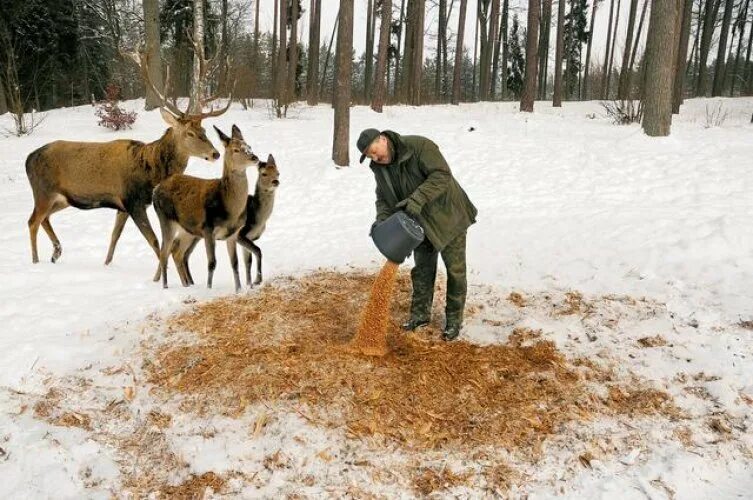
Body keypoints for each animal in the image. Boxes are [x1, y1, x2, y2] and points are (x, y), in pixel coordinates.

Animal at [153, 122, 258, 292]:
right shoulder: (208, 229)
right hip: (166, 219)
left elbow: (234, 263)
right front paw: (209, 289)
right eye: (236, 149)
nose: (255, 157)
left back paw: (186, 285)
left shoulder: (233, 233)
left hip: (187, 230)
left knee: (177, 252)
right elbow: (212, 263)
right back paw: (166, 286)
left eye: (249, 146)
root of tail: (155, 190)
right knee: (164, 252)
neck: (230, 210)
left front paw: (238, 289)